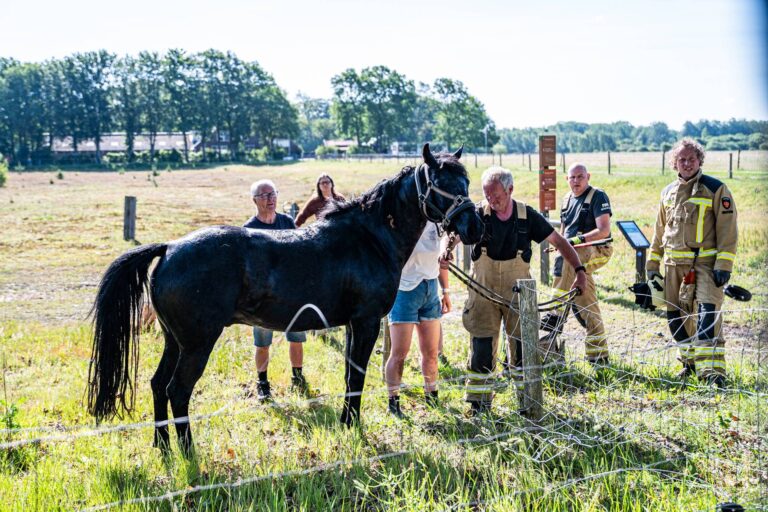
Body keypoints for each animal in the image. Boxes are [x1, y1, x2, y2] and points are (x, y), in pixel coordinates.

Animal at [87, 143, 484, 454]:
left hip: (176, 342)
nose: (474, 227)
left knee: (158, 385)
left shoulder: (353, 325)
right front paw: (354, 426)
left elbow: (348, 375)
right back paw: (187, 452)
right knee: (177, 390)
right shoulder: (367, 322)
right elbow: (357, 376)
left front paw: (346, 423)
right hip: (197, 344)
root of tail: (169, 248)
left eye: (465, 182)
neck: (368, 238)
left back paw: (164, 446)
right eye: (439, 184)